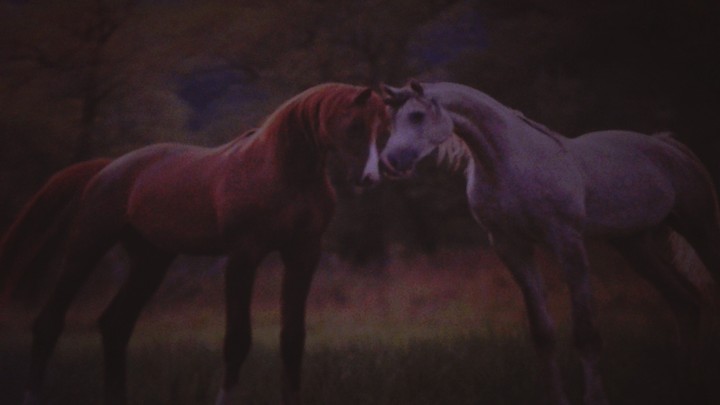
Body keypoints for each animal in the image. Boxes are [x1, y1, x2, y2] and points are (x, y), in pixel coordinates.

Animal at [0, 83, 389, 405]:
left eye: (384, 132)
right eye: (355, 126)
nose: (369, 178)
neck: (281, 172)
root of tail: (106, 169)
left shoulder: (303, 255)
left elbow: (293, 340)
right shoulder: (243, 257)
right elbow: (237, 341)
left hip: (151, 260)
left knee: (115, 326)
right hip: (88, 245)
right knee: (49, 322)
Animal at [378, 80, 720, 405]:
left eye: (417, 116)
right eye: (392, 120)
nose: (391, 161)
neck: (511, 163)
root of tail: (668, 145)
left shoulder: (567, 242)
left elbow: (586, 333)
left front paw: (596, 398)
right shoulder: (511, 247)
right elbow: (543, 333)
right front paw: (558, 398)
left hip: (698, 227)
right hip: (635, 247)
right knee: (686, 303)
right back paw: (687, 389)